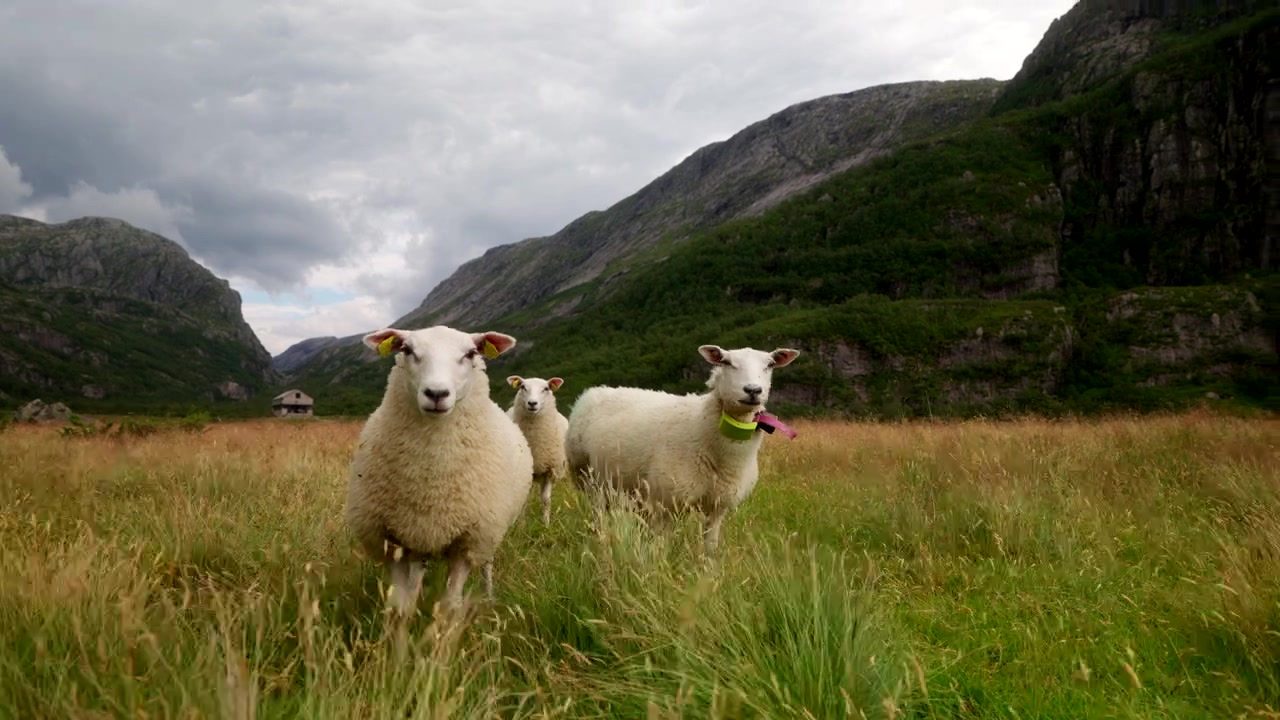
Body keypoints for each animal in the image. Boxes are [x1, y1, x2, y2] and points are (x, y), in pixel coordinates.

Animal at [344, 324, 533, 628]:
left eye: (471, 353)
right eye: (407, 349)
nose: (436, 393)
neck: (431, 478)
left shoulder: (468, 542)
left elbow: (448, 607)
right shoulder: (391, 540)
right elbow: (399, 607)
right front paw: (397, 639)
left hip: (490, 530)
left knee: (487, 564)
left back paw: (489, 596)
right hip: (419, 537)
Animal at [504, 375, 569, 526]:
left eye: (546, 388)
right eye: (523, 387)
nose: (532, 403)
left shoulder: (550, 470)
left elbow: (546, 500)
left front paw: (546, 524)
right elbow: (523, 502)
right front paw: (521, 526)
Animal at [564, 343, 800, 558]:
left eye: (770, 365)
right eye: (726, 362)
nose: (753, 390)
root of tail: (596, 390)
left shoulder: (717, 507)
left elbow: (710, 547)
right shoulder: (667, 502)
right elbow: (661, 547)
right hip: (590, 479)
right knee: (599, 519)